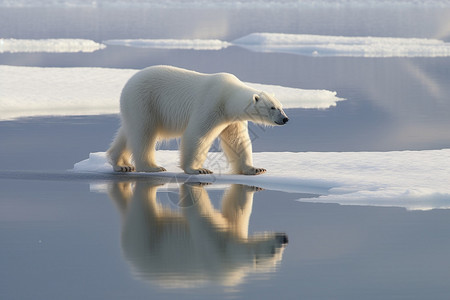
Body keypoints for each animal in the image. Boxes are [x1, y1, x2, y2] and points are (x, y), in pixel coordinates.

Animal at [107, 64, 288, 175]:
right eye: (272, 108)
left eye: (281, 106)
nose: (285, 119)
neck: (228, 97)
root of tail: (129, 83)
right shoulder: (211, 104)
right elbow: (197, 135)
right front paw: (198, 169)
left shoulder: (232, 119)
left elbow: (237, 140)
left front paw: (255, 169)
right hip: (145, 101)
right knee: (144, 133)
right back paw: (151, 167)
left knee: (128, 132)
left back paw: (122, 164)